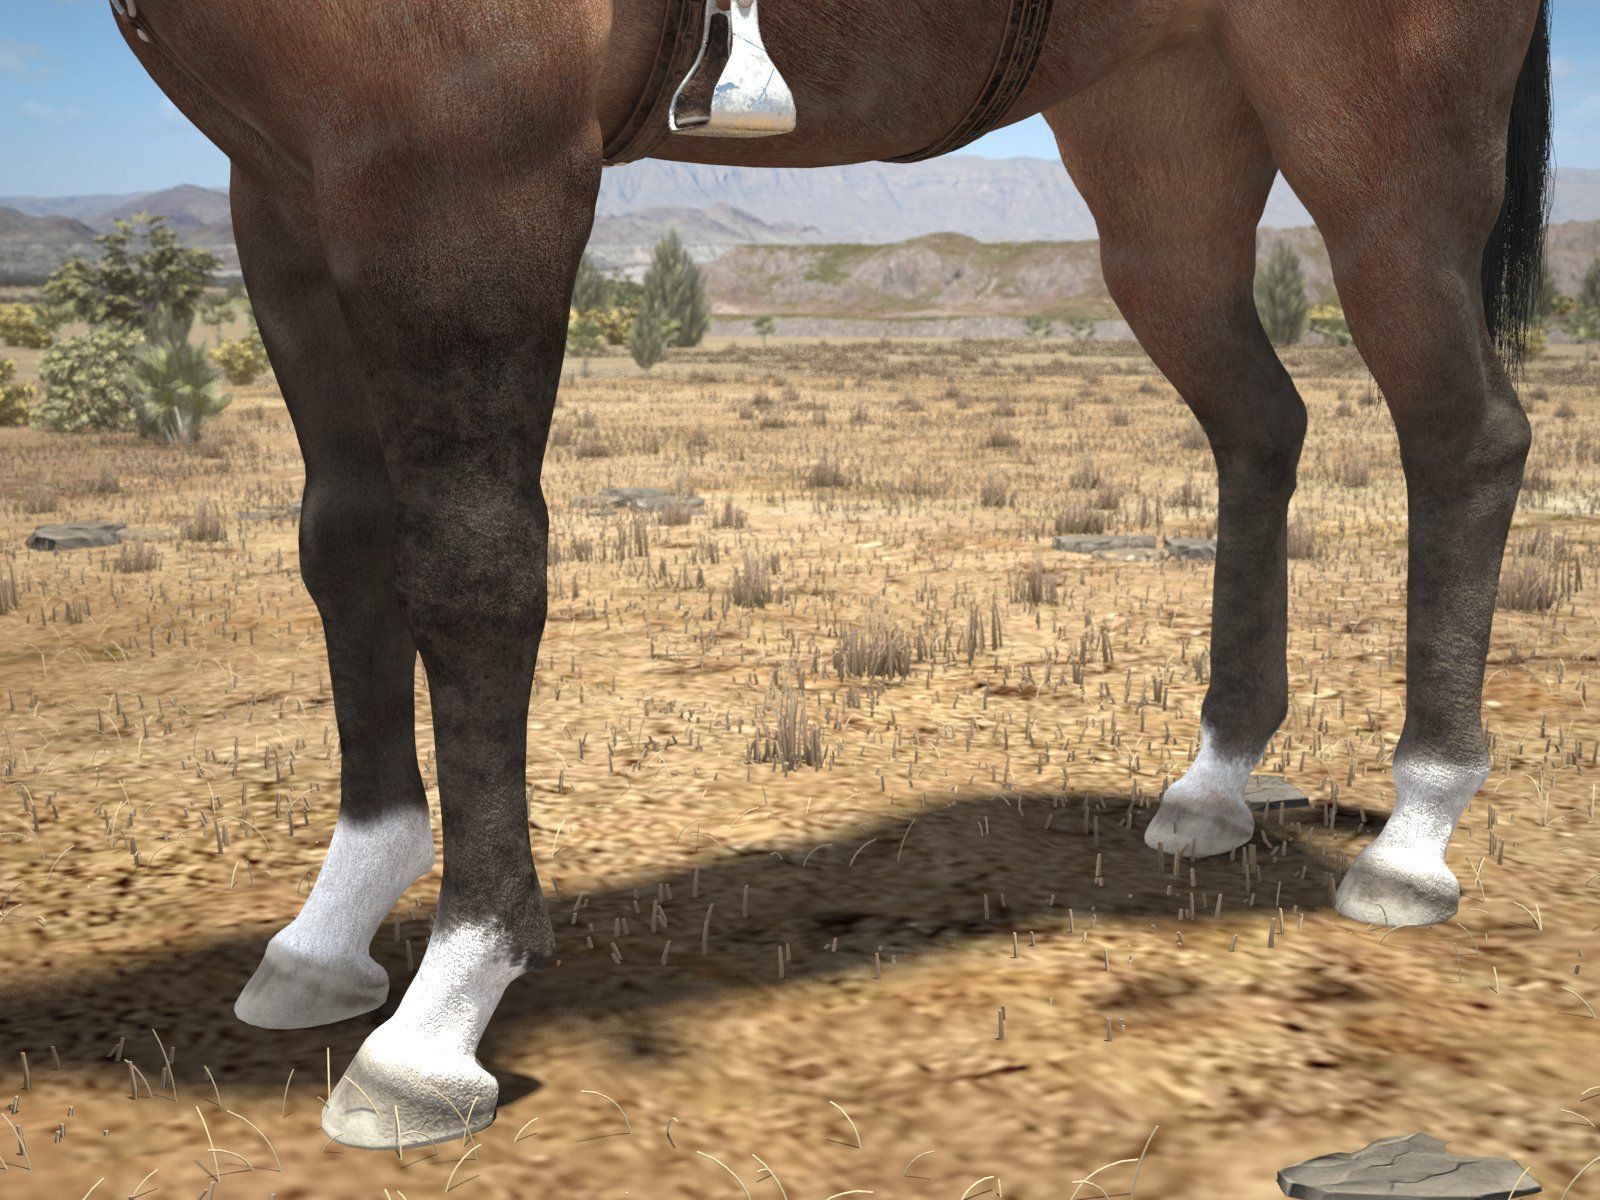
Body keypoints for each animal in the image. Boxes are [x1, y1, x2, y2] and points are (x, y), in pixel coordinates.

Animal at [109, 0, 1553, 1148]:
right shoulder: (280, 182)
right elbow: (343, 543)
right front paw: (333, 926)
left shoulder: (464, 169)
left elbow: (471, 565)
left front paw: (444, 1010)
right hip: (1164, 150)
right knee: (1262, 423)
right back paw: (1215, 780)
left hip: (1380, 143)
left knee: (1464, 431)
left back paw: (1415, 834)